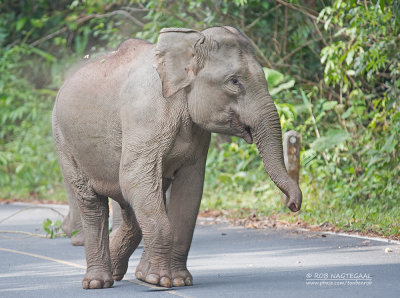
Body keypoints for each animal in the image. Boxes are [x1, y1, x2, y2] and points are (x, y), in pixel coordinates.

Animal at [52, 26, 304, 290]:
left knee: (133, 206)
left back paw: (125, 272)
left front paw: (177, 280)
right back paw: (97, 283)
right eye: (235, 82)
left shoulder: (197, 134)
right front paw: (161, 280)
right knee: (93, 203)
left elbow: (189, 189)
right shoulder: (146, 115)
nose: (294, 205)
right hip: (63, 140)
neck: (189, 42)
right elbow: (134, 177)